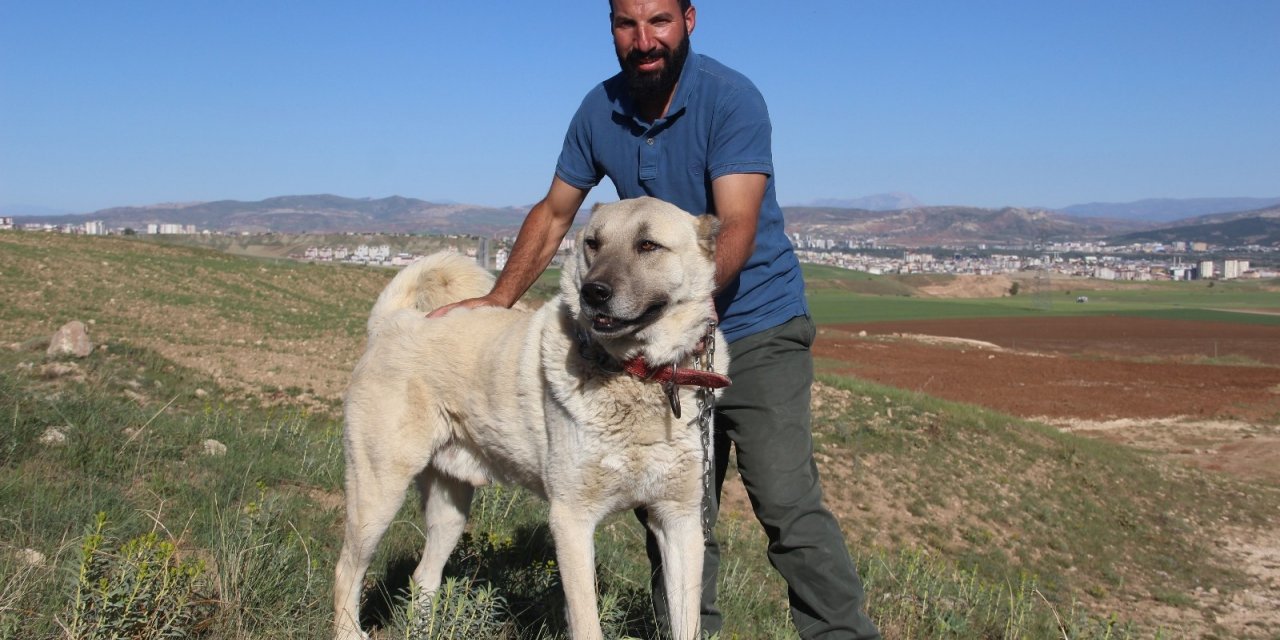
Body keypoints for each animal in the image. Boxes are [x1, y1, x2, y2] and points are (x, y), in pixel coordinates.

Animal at [332, 197, 732, 640]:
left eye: (648, 245)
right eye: (592, 243)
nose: (593, 292)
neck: (641, 374)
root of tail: (393, 322)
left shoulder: (679, 522)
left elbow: (686, 620)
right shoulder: (572, 519)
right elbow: (587, 621)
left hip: (450, 507)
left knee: (424, 575)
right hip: (378, 493)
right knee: (346, 569)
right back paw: (350, 631)